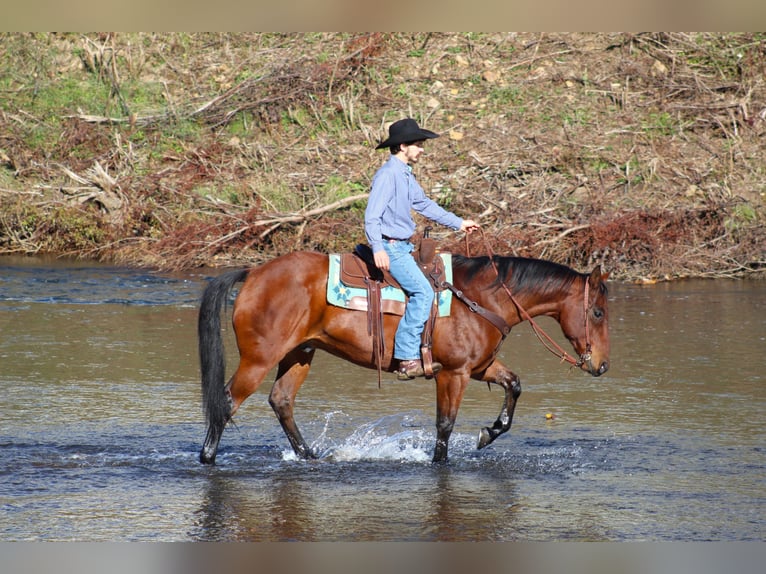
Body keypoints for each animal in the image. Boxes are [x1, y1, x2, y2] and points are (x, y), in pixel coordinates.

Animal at [198, 250, 612, 466]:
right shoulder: (454, 373)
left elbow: (514, 385)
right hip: (259, 358)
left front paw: (488, 434)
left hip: (300, 353)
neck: (481, 299)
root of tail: (253, 273)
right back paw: (207, 457)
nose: (602, 365)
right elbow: (445, 423)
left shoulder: (479, 368)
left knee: (281, 400)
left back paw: (311, 456)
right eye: (597, 312)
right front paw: (440, 462)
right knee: (228, 400)